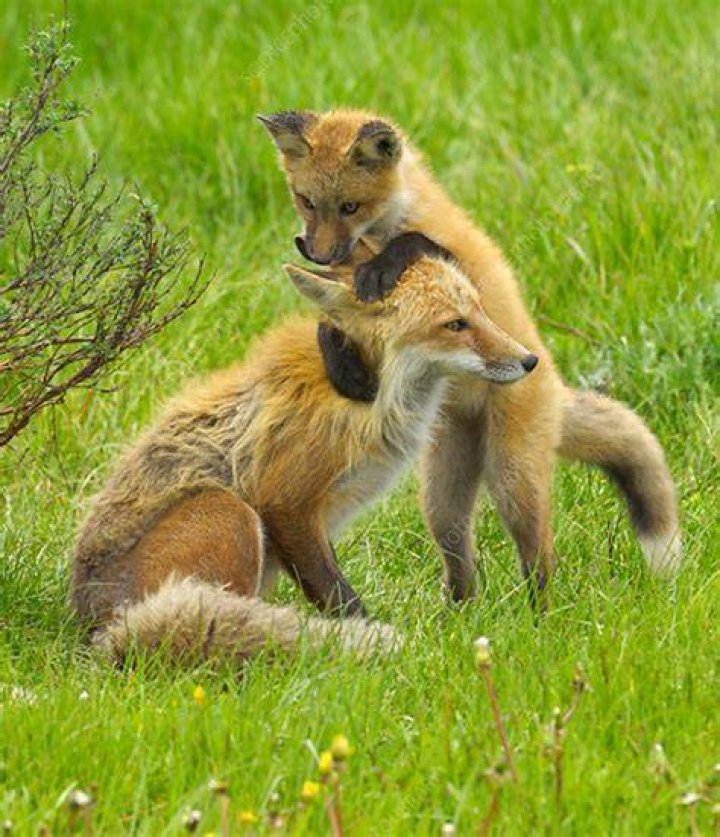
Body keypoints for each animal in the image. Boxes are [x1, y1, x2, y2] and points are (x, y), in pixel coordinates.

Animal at [71, 254, 537, 663]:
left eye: (481, 312)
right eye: (455, 325)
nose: (530, 359)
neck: (369, 396)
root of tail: (101, 629)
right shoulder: (286, 503)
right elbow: (340, 598)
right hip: (231, 513)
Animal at [259, 108, 682, 603]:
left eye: (350, 207)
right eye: (307, 201)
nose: (319, 252)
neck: (378, 235)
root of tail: (553, 386)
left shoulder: (455, 268)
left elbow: (416, 246)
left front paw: (384, 268)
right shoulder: (347, 295)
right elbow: (332, 324)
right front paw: (346, 369)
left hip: (513, 480)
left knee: (540, 557)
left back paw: (540, 613)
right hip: (442, 496)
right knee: (461, 561)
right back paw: (457, 613)